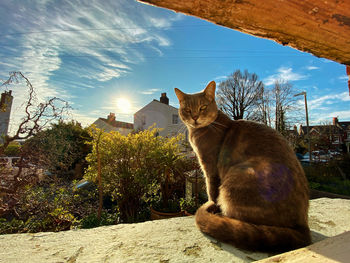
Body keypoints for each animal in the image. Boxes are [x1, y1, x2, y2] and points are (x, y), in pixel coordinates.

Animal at [174, 81, 308, 253]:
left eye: (203, 107)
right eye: (188, 110)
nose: (195, 117)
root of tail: (302, 227)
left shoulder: (210, 167)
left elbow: (211, 190)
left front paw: (212, 206)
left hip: (240, 176)